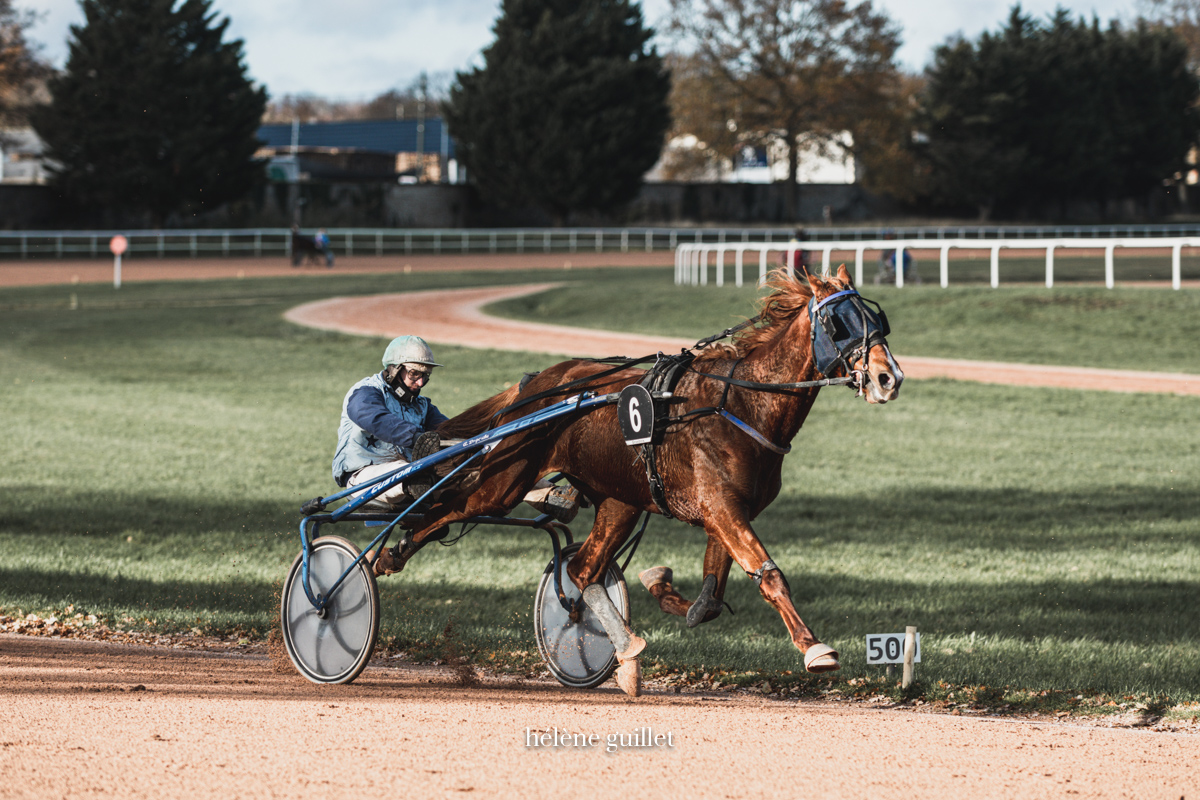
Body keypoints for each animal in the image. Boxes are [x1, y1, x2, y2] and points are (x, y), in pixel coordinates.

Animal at [384, 267, 902, 695]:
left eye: (876, 318)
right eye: (839, 322)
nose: (888, 377)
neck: (739, 405)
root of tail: (538, 381)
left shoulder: (726, 511)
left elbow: (709, 602)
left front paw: (661, 586)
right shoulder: (721, 507)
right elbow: (768, 576)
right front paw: (815, 648)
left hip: (620, 500)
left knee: (582, 570)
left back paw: (626, 652)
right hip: (506, 480)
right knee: (450, 509)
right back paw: (393, 551)